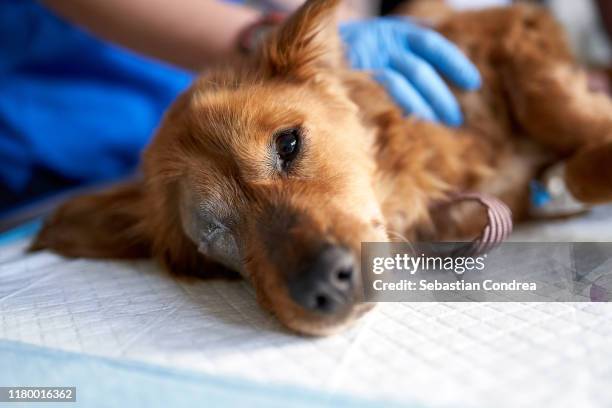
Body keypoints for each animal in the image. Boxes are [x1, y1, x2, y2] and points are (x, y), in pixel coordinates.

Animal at [31, 0, 612, 334]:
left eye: (288, 144)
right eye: (213, 236)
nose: (326, 287)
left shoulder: (512, 26)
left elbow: (551, 104)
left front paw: (568, 172)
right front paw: (558, 184)